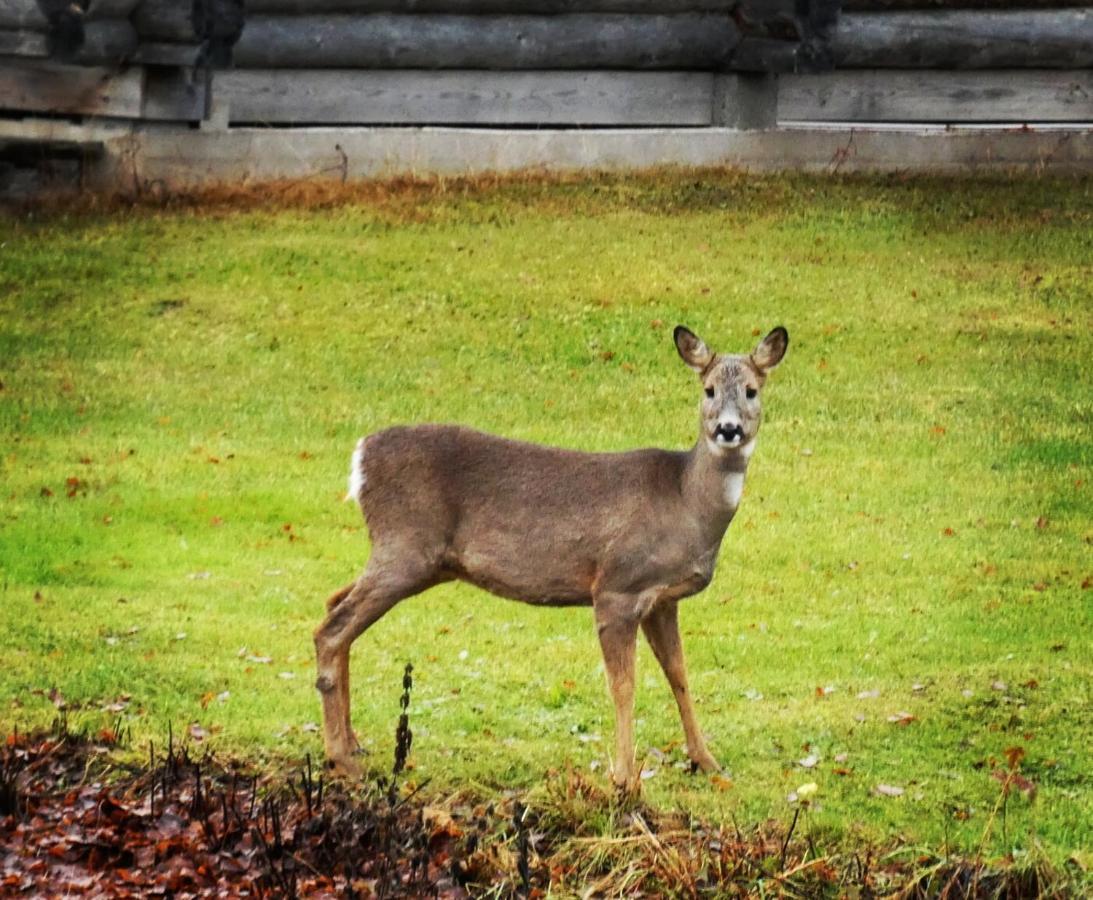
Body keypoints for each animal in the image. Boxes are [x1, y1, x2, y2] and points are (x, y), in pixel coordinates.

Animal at [314, 323, 786, 787]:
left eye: (751, 390)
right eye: (708, 390)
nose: (728, 429)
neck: (685, 501)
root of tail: (361, 456)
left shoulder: (661, 599)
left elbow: (680, 675)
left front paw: (707, 762)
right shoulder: (617, 585)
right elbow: (623, 685)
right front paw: (624, 779)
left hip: (417, 559)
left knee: (334, 603)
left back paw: (353, 743)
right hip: (405, 545)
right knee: (331, 630)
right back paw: (343, 758)